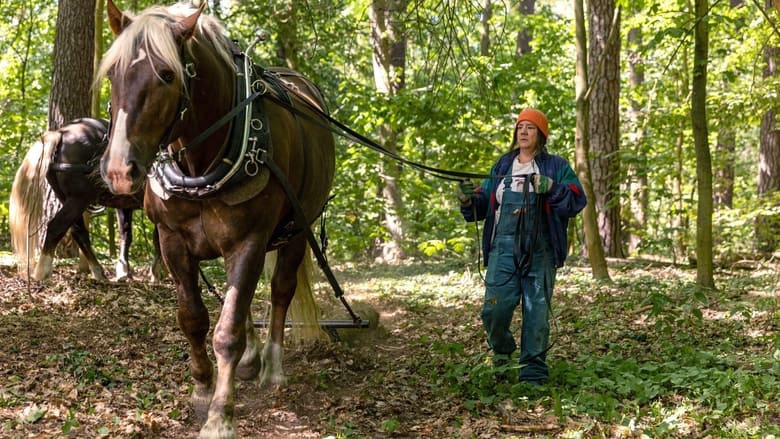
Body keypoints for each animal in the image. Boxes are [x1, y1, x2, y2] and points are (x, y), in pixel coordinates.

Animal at [8, 117, 163, 282]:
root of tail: (61, 133)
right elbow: (157, 238)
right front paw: (156, 273)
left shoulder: (124, 204)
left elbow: (126, 234)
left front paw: (124, 270)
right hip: (79, 200)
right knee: (57, 227)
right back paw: (42, 271)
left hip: (69, 199)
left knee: (79, 233)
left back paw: (98, 271)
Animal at [96, 1, 336, 438]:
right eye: (112, 74)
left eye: (167, 74)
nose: (120, 170)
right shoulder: (172, 240)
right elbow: (194, 318)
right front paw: (202, 390)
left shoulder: (249, 241)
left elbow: (227, 331)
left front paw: (221, 415)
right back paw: (251, 359)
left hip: (296, 229)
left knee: (280, 290)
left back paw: (272, 365)